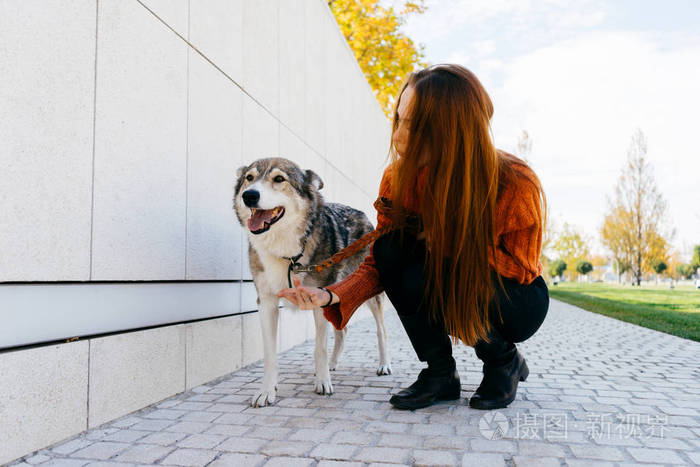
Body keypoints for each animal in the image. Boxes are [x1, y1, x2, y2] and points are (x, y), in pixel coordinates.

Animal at [235, 159, 394, 408]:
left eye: (279, 179)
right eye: (249, 178)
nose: (249, 195)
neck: (286, 252)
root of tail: (364, 215)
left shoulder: (318, 299)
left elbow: (320, 348)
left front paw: (323, 383)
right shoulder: (267, 302)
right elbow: (270, 355)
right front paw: (267, 391)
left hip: (367, 290)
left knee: (381, 330)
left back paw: (383, 364)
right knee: (343, 329)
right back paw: (333, 364)